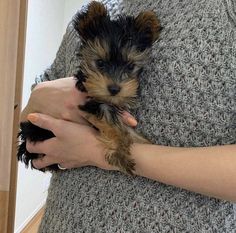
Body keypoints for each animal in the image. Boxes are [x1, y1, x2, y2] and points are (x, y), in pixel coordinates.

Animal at [17, 0, 162, 174]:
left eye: (130, 66)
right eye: (100, 62)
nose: (114, 89)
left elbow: (125, 128)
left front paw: (143, 142)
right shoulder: (93, 104)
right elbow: (114, 126)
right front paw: (120, 152)